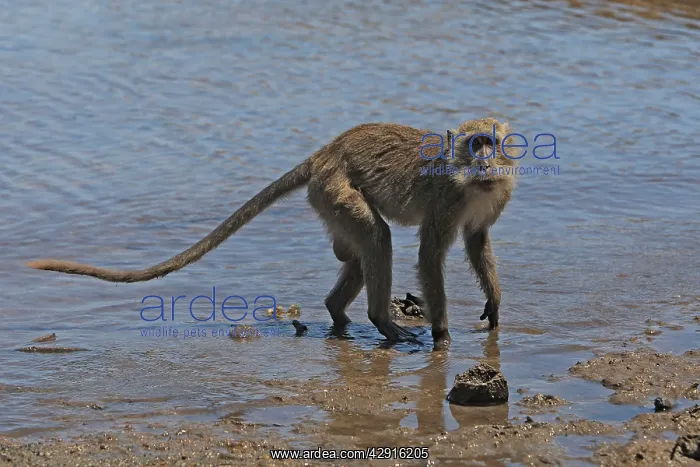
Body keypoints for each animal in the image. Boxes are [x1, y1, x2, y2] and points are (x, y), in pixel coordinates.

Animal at [26, 117, 518, 350]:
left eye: (492, 143)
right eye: (476, 144)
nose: (486, 161)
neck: (473, 184)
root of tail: (325, 152)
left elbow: (477, 241)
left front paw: (494, 303)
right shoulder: (446, 198)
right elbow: (430, 255)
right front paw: (442, 335)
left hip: (327, 198)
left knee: (362, 247)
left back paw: (339, 312)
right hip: (333, 187)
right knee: (377, 238)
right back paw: (381, 322)